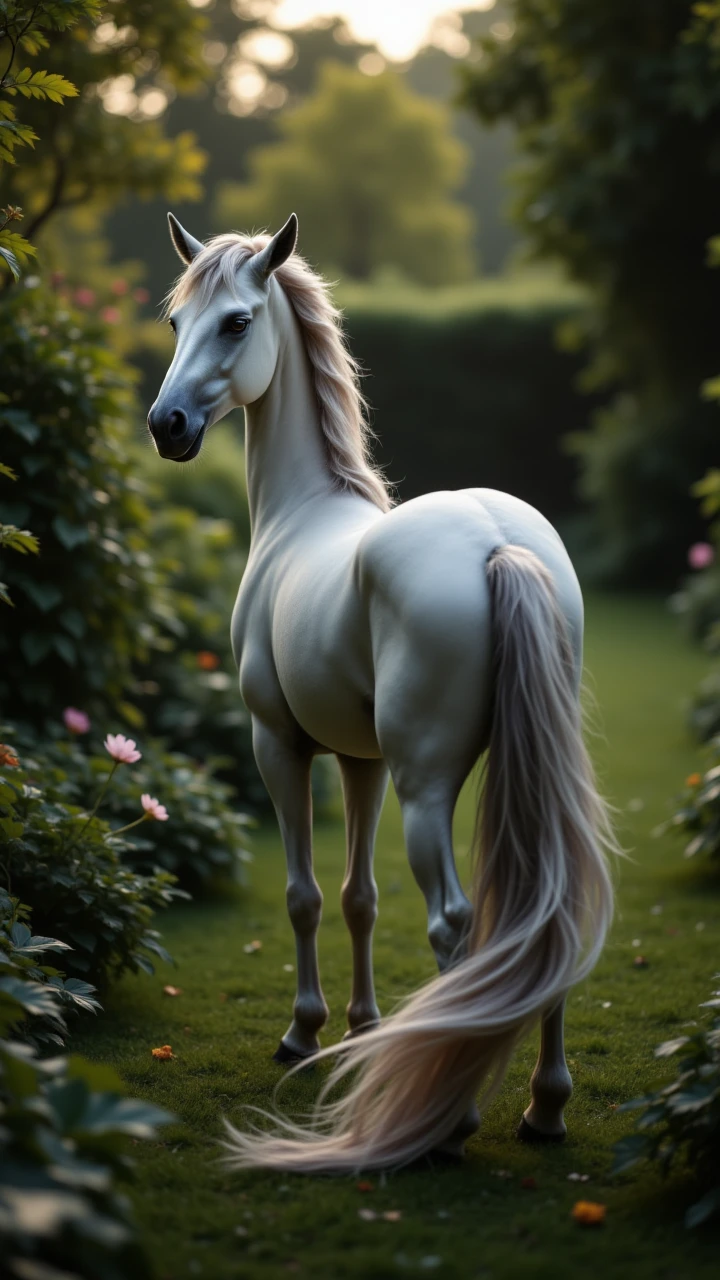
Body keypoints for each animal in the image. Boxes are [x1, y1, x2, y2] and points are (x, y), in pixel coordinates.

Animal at [147, 215, 617, 1172]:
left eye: (237, 322)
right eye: (177, 323)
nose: (165, 425)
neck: (303, 513)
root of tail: (498, 543)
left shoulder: (280, 747)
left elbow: (305, 896)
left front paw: (304, 1033)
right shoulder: (358, 762)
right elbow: (359, 899)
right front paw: (362, 1028)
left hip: (425, 789)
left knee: (454, 923)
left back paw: (453, 1116)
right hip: (509, 774)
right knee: (549, 911)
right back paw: (544, 1108)